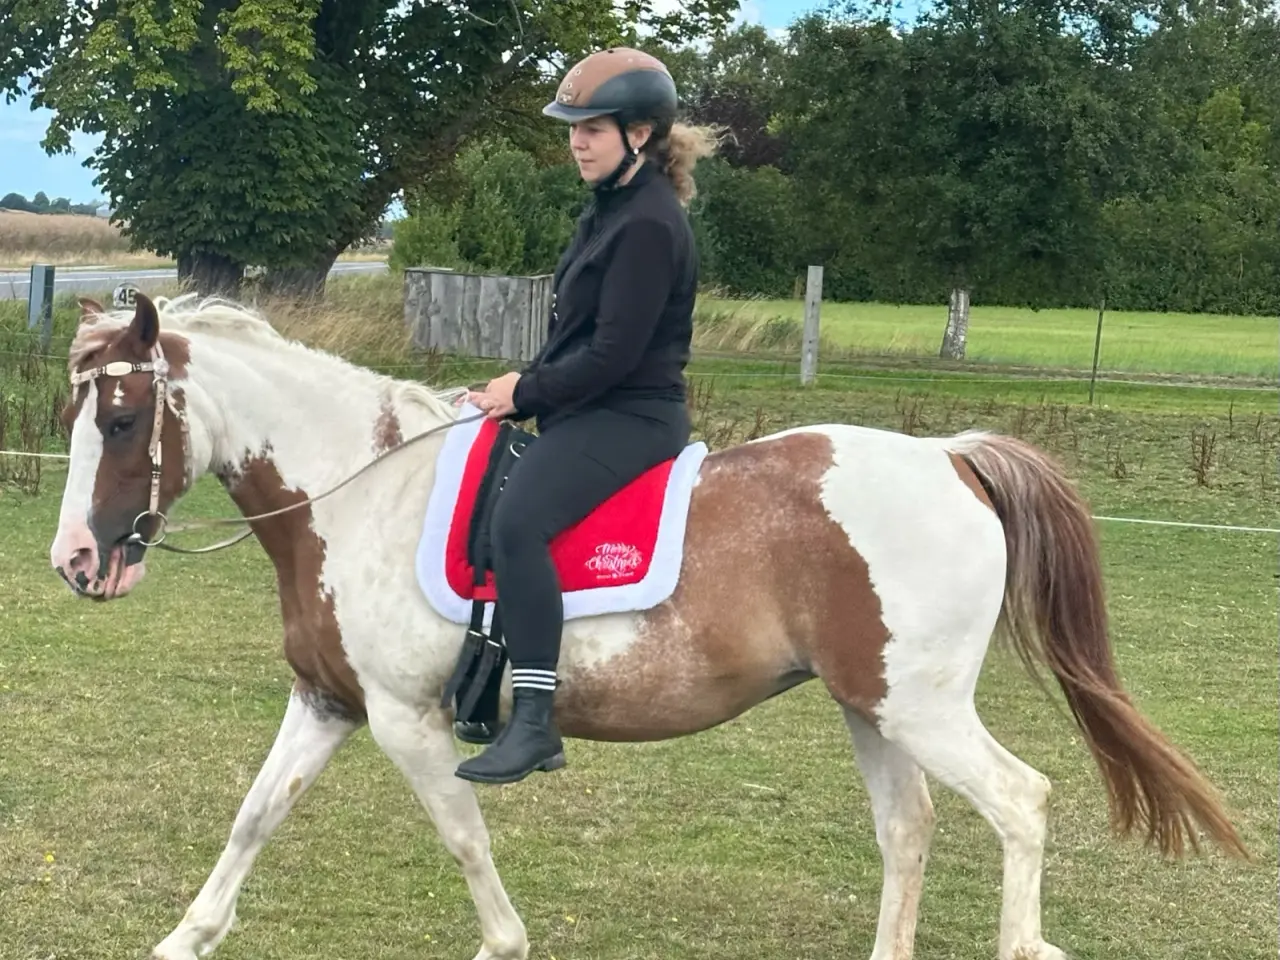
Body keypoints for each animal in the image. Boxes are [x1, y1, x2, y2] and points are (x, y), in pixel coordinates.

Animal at [46, 292, 1247, 960]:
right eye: (79, 413)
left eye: (123, 418)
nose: (76, 563)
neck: (359, 491)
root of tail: (950, 456)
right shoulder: (328, 703)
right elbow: (252, 819)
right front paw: (184, 939)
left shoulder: (405, 723)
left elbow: (464, 842)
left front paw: (504, 945)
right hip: (873, 709)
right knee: (908, 833)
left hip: (924, 709)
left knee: (1020, 803)